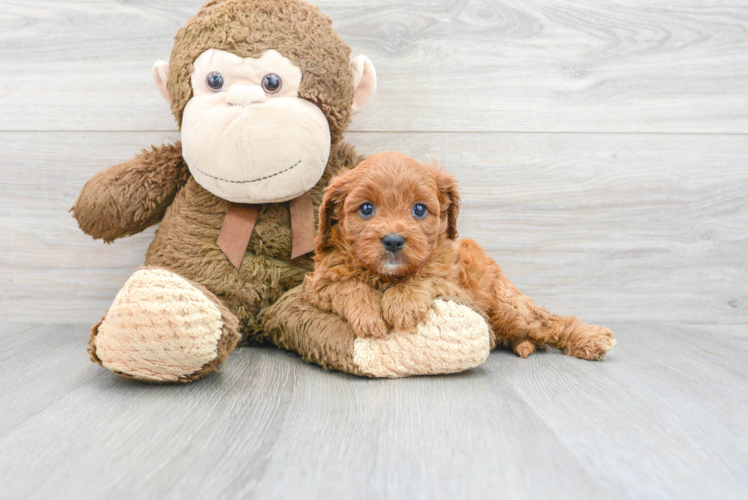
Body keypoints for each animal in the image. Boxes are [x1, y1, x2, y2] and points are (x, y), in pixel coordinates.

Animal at [300, 150, 616, 358]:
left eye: (419, 209)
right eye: (366, 208)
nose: (393, 241)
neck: (385, 275)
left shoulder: (456, 286)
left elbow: (426, 276)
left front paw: (402, 303)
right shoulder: (318, 283)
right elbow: (348, 286)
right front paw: (368, 315)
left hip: (508, 308)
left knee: (550, 322)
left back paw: (594, 339)